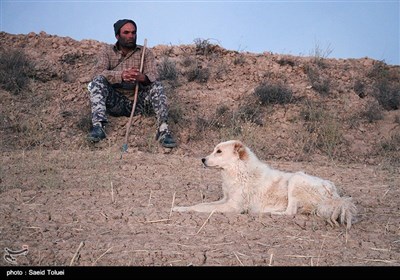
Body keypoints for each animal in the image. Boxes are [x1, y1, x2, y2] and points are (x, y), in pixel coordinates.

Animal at [173, 139, 358, 229]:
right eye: (214, 150)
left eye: (218, 151)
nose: (202, 160)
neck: (238, 170)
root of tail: (333, 194)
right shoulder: (225, 200)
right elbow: (201, 204)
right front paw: (180, 207)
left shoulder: (233, 206)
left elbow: (200, 207)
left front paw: (182, 209)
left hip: (296, 179)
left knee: (290, 212)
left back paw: (268, 213)